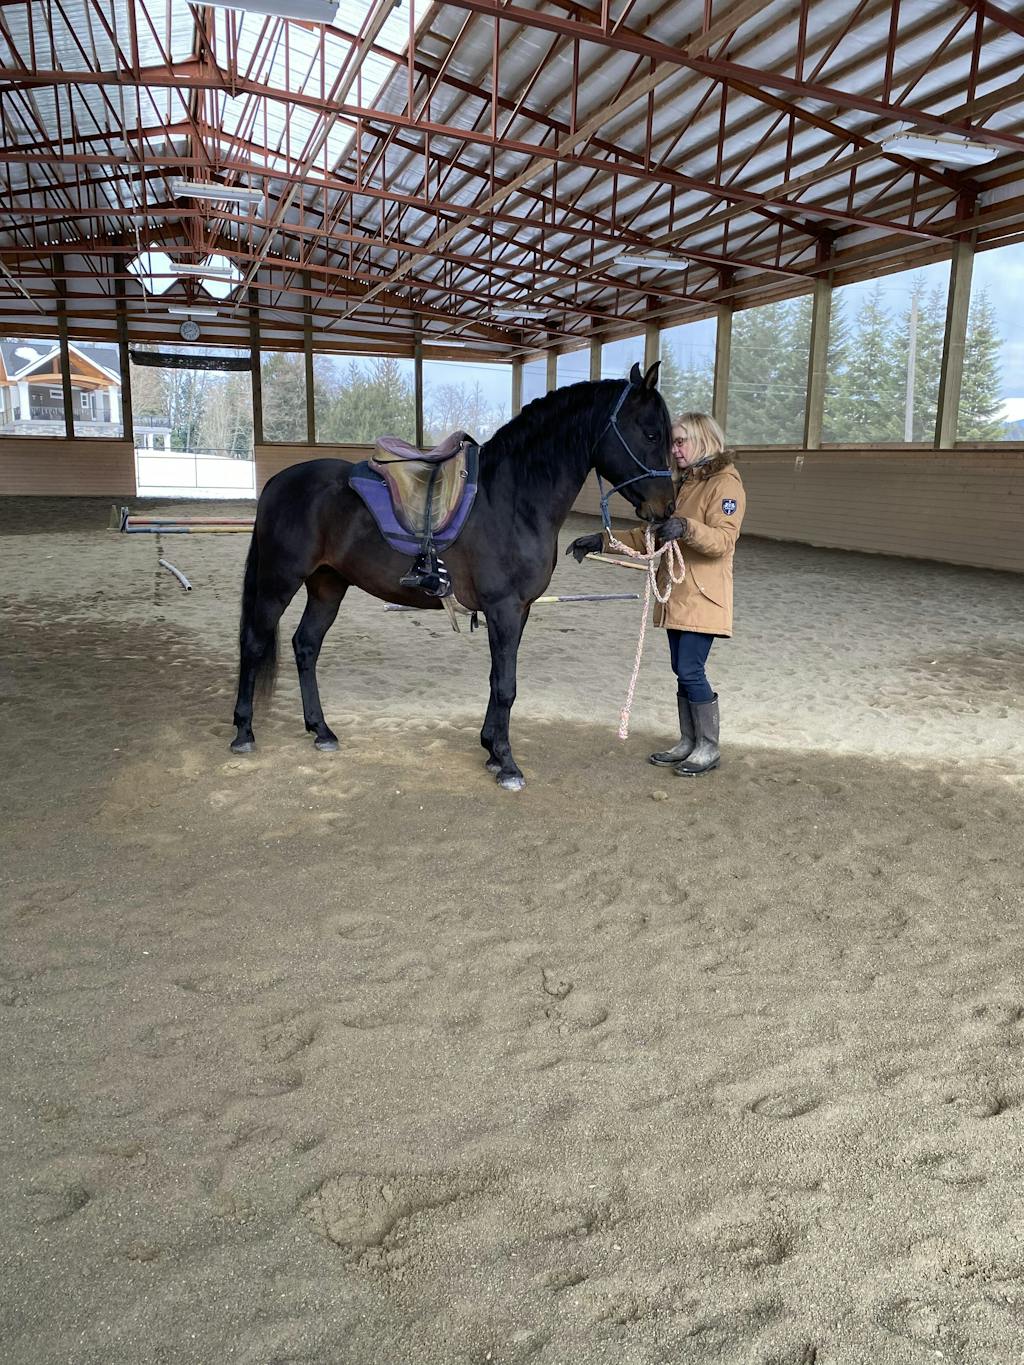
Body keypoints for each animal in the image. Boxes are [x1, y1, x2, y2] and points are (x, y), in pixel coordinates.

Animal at [229, 360, 675, 790]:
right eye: (651, 434)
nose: (667, 509)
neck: (512, 498)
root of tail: (278, 483)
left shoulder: (518, 611)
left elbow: (498, 680)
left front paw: (491, 750)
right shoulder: (504, 609)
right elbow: (506, 685)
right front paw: (507, 764)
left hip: (327, 585)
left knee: (306, 646)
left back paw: (321, 730)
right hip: (278, 582)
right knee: (253, 644)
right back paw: (244, 732)